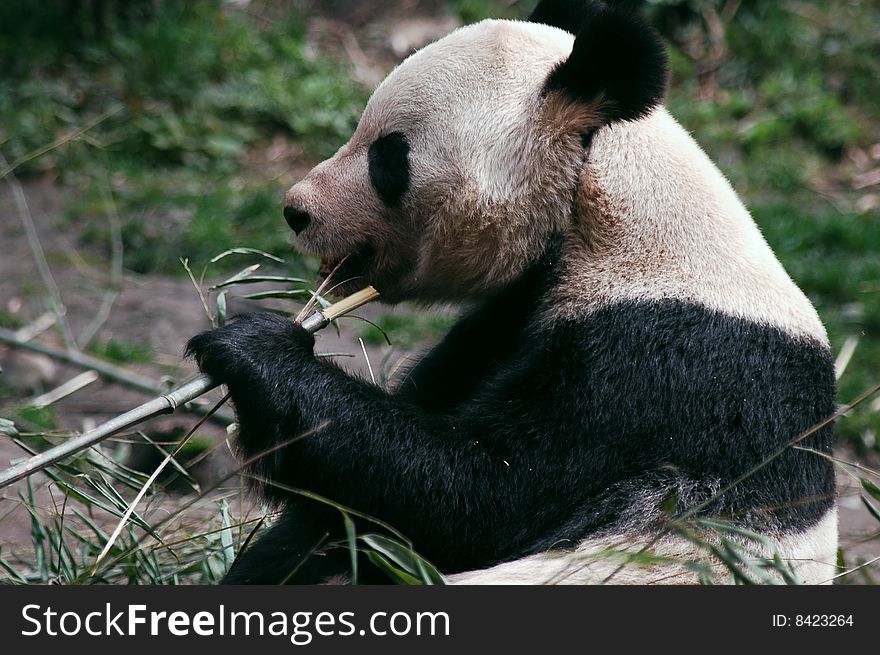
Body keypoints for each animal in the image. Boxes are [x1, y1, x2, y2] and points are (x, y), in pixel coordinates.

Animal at [187, 0, 840, 584]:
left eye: (389, 156)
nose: (298, 210)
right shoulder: (509, 317)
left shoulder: (663, 364)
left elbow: (480, 496)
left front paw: (255, 349)